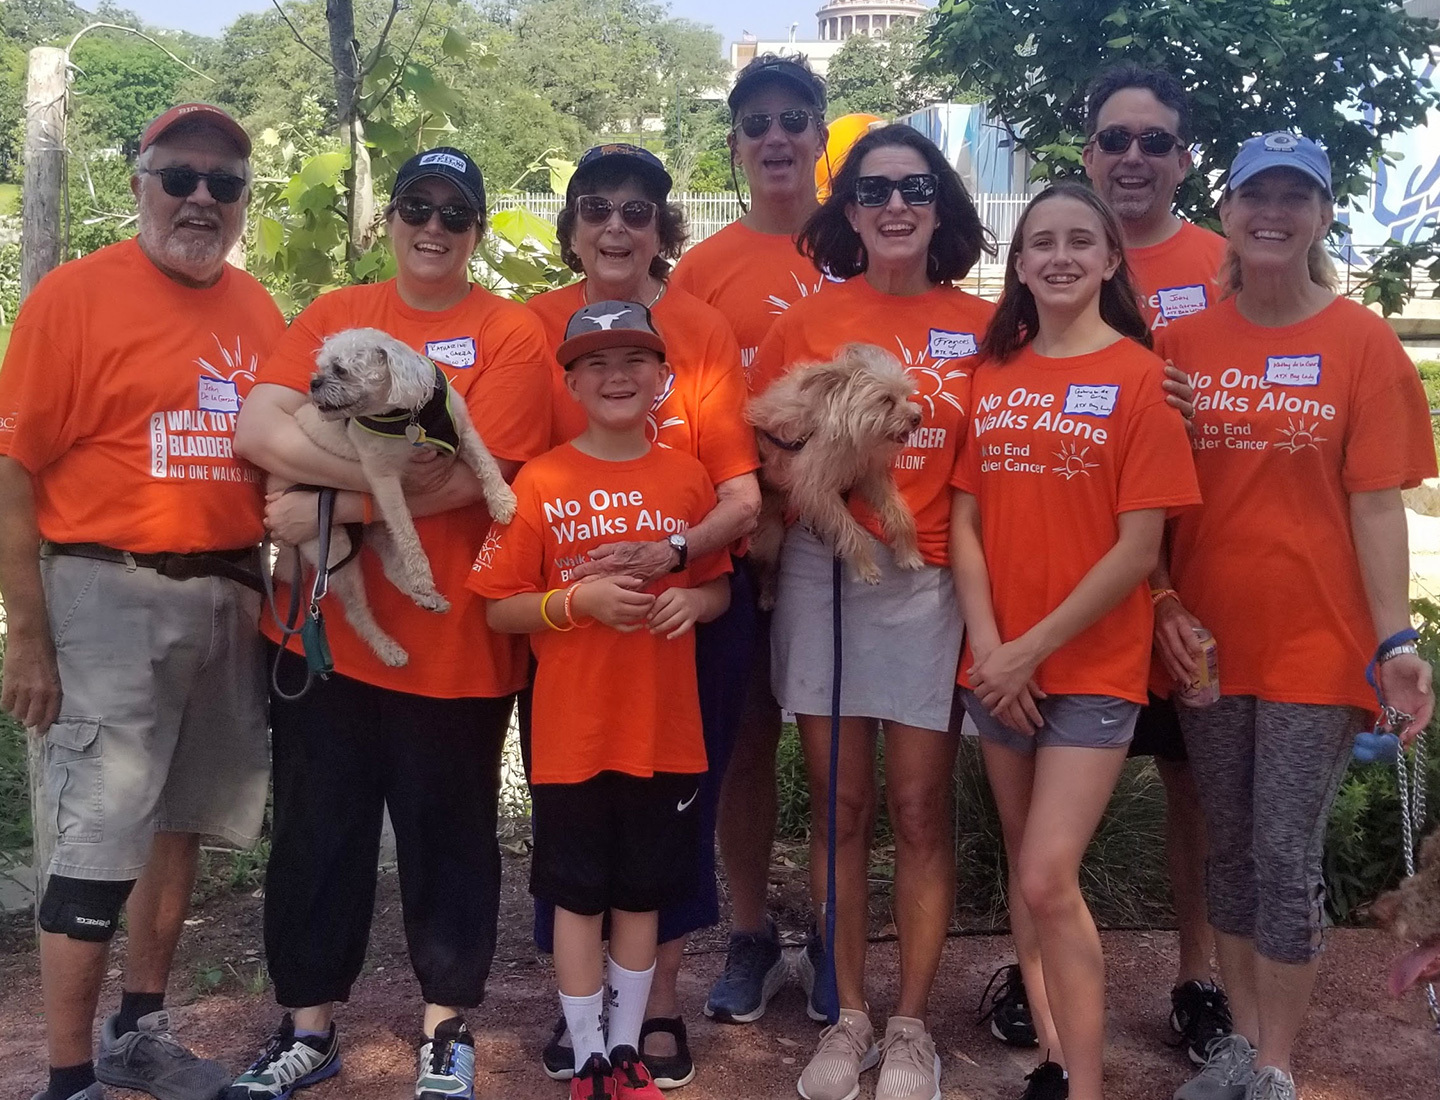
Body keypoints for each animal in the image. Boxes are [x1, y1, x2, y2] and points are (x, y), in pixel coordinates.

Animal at [292, 326, 518, 665]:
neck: (408, 414)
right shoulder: (384, 480)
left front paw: (501, 500)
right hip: (335, 549)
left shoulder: (464, 434)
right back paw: (388, 647)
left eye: (340, 370)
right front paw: (422, 573)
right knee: (357, 611)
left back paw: (428, 599)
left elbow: (486, 462)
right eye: (322, 367)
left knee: (391, 568)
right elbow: (407, 530)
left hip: (372, 532)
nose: (313, 383)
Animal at [743, 339, 921, 604]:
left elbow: (899, 515)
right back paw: (767, 596)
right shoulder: (817, 491)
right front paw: (866, 568)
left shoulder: (870, 475)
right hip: (770, 534)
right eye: (886, 399)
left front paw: (908, 553)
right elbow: (851, 529)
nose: (917, 417)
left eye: (906, 395)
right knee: (765, 565)